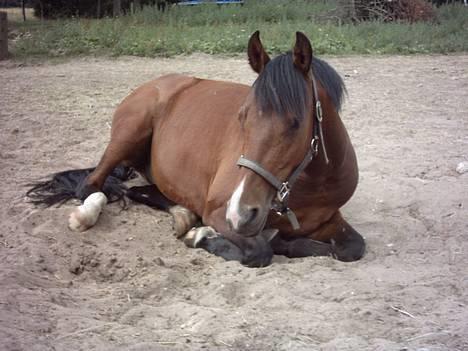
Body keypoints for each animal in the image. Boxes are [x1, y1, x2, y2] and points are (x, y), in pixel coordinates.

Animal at [27, 31, 366, 268]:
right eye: (242, 117)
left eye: (295, 123)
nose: (241, 213)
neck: (310, 186)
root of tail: (156, 84)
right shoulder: (218, 213)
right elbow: (260, 250)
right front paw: (202, 236)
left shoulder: (328, 221)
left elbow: (352, 248)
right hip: (126, 136)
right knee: (92, 186)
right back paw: (88, 214)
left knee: (136, 191)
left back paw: (183, 214)